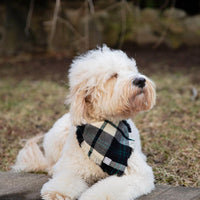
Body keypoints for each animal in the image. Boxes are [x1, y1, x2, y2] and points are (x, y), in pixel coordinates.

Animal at [13, 46, 156, 200]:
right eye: (113, 75)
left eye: (132, 71)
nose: (141, 80)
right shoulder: (71, 167)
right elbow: (65, 178)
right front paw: (57, 192)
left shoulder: (137, 173)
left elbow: (107, 188)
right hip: (56, 137)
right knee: (51, 163)